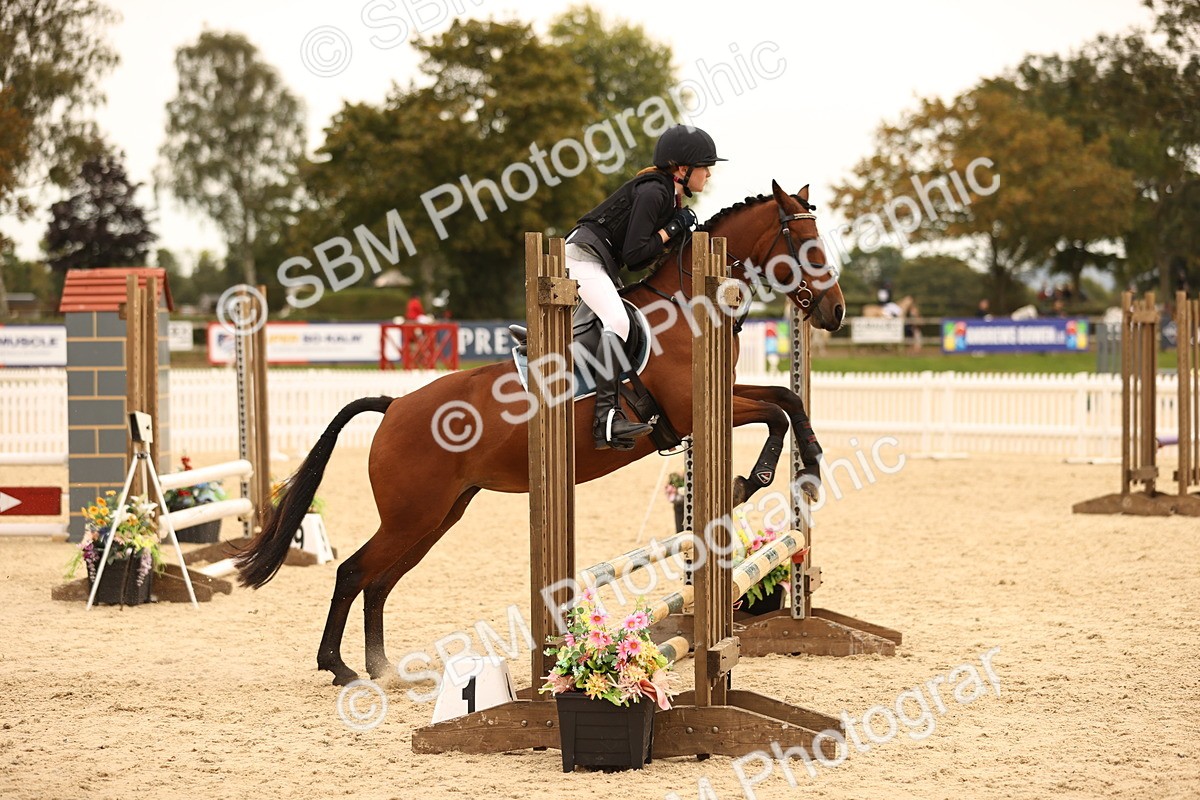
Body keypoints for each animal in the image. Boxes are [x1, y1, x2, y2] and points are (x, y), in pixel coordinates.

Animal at [236, 180, 845, 686]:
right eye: (807, 248)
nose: (836, 313)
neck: (688, 304)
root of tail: (394, 406)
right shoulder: (693, 409)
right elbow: (775, 412)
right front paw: (758, 478)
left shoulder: (722, 396)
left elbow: (786, 399)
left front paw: (808, 465)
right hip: (412, 515)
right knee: (353, 571)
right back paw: (339, 668)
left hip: (438, 516)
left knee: (380, 581)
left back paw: (381, 666)